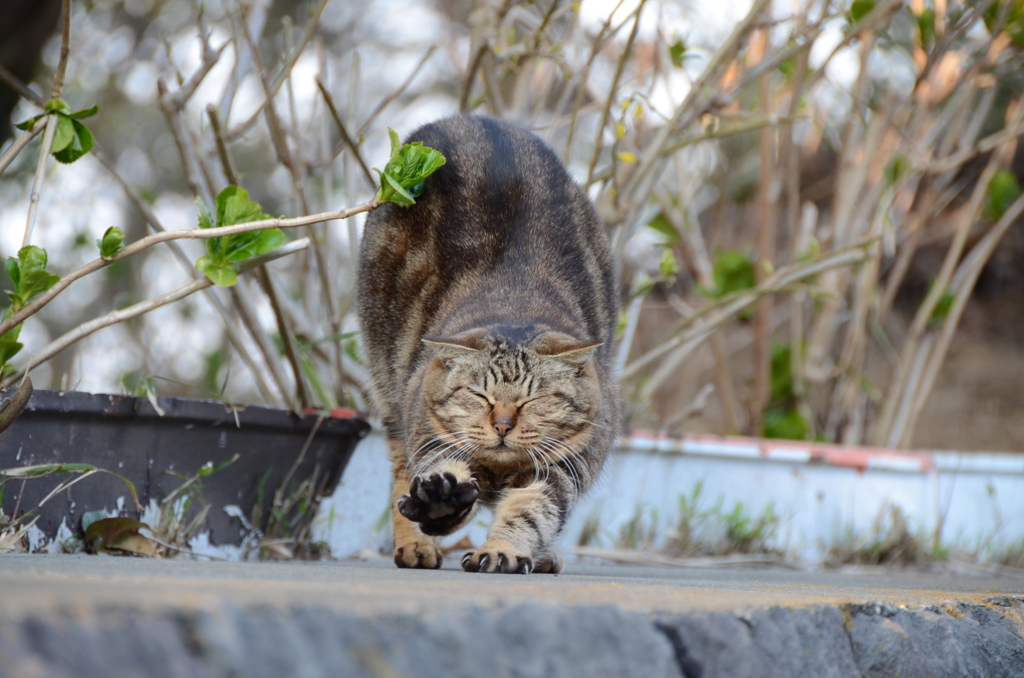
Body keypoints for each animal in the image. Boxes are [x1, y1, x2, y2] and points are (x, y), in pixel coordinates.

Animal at [356, 115, 618, 573]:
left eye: (535, 400)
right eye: (479, 395)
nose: (503, 426)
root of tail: (472, 119)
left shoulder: (560, 469)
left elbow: (530, 512)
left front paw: (503, 549)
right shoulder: (430, 440)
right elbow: (432, 477)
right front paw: (440, 504)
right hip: (388, 387)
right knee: (400, 471)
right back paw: (414, 546)